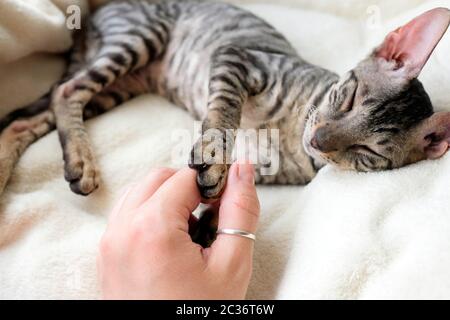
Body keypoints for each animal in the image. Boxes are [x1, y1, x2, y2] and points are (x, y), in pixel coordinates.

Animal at [0, 0, 448, 200]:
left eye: (367, 153)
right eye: (349, 97)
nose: (318, 141)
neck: (290, 132)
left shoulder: (263, 169)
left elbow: (232, 172)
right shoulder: (238, 57)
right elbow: (225, 113)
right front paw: (214, 153)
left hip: (119, 86)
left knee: (35, 114)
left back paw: (41, 164)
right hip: (140, 39)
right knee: (65, 91)